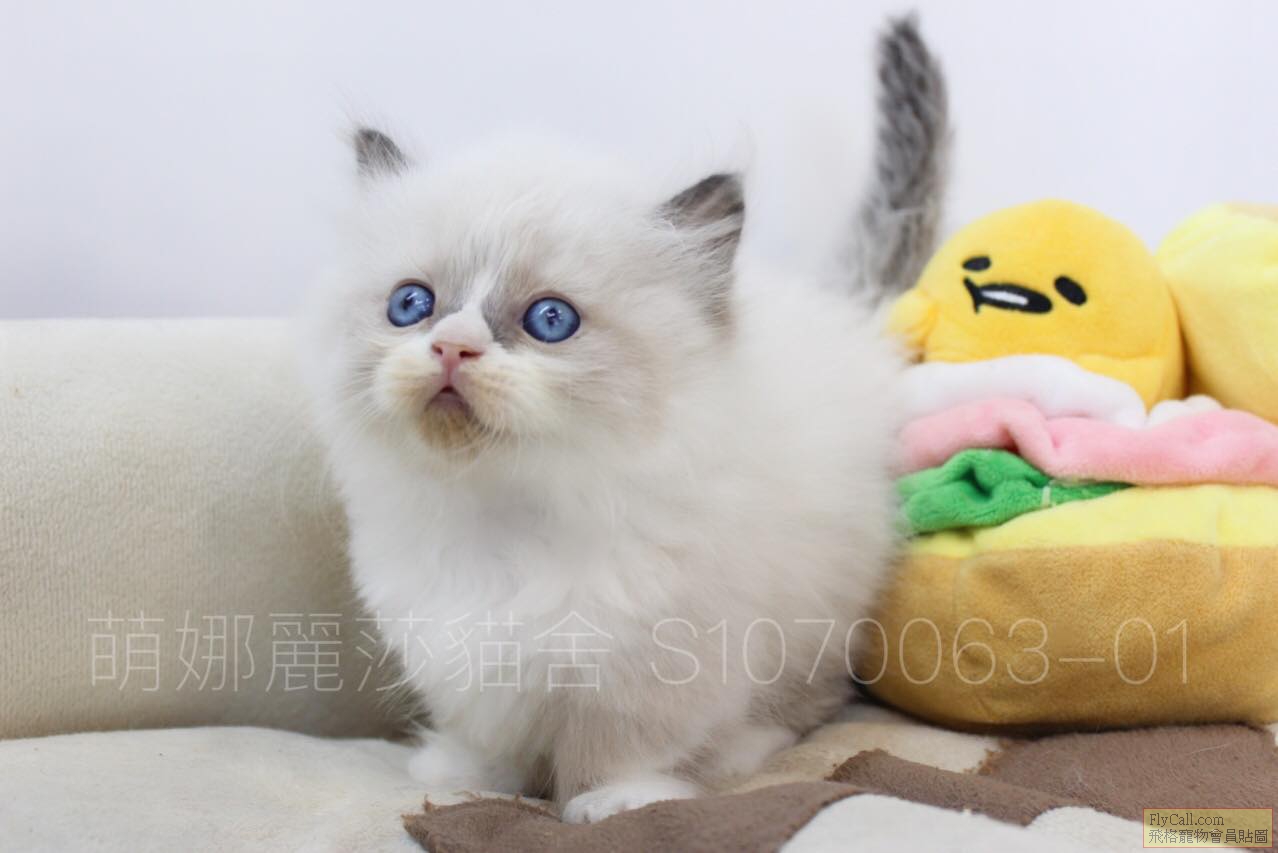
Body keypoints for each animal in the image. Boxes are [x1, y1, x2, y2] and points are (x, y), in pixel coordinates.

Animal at [304, 15, 948, 823]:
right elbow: (486, 739)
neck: (502, 520)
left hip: (820, 612)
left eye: (549, 320)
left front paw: (616, 803)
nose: (452, 347)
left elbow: (619, 750)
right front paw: (463, 774)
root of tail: (848, 307)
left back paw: (740, 751)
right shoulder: (454, 650)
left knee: (809, 701)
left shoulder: (655, 662)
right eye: (411, 305)